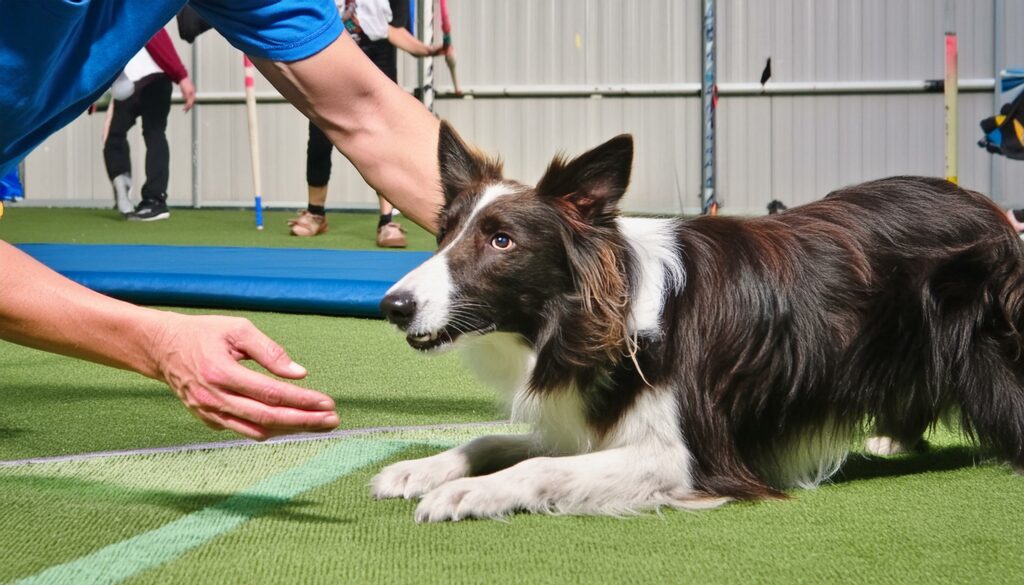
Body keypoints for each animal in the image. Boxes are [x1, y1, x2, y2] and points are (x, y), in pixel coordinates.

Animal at [372, 122, 1024, 522]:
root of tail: (993, 211)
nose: (392, 307)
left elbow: (537, 468)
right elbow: (495, 441)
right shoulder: (585, 425)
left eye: (501, 240)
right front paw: (419, 470)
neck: (605, 315)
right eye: (444, 232)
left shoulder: (684, 458)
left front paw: (465, 492)